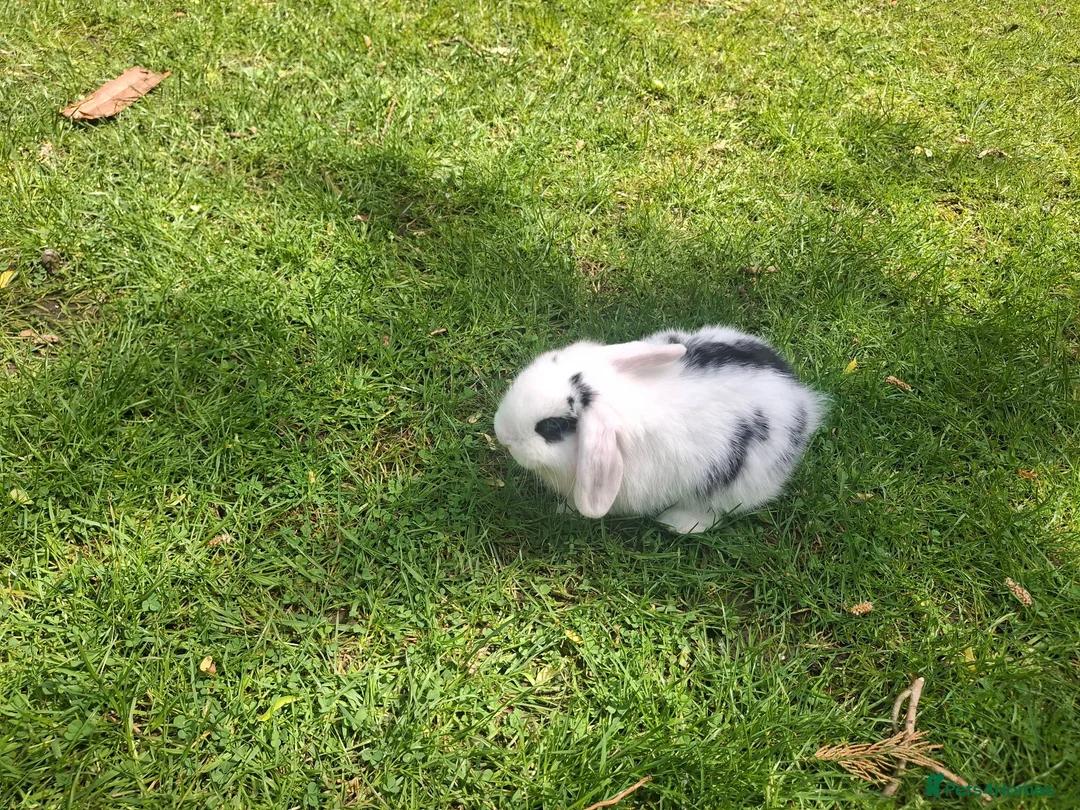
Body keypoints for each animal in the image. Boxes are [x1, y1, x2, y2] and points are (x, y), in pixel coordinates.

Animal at [492, 325, 826, 534]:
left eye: (552, 426)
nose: (502, 435)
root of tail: (802, 403)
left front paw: (566, 511)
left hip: (733, 483)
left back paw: (677, 523)